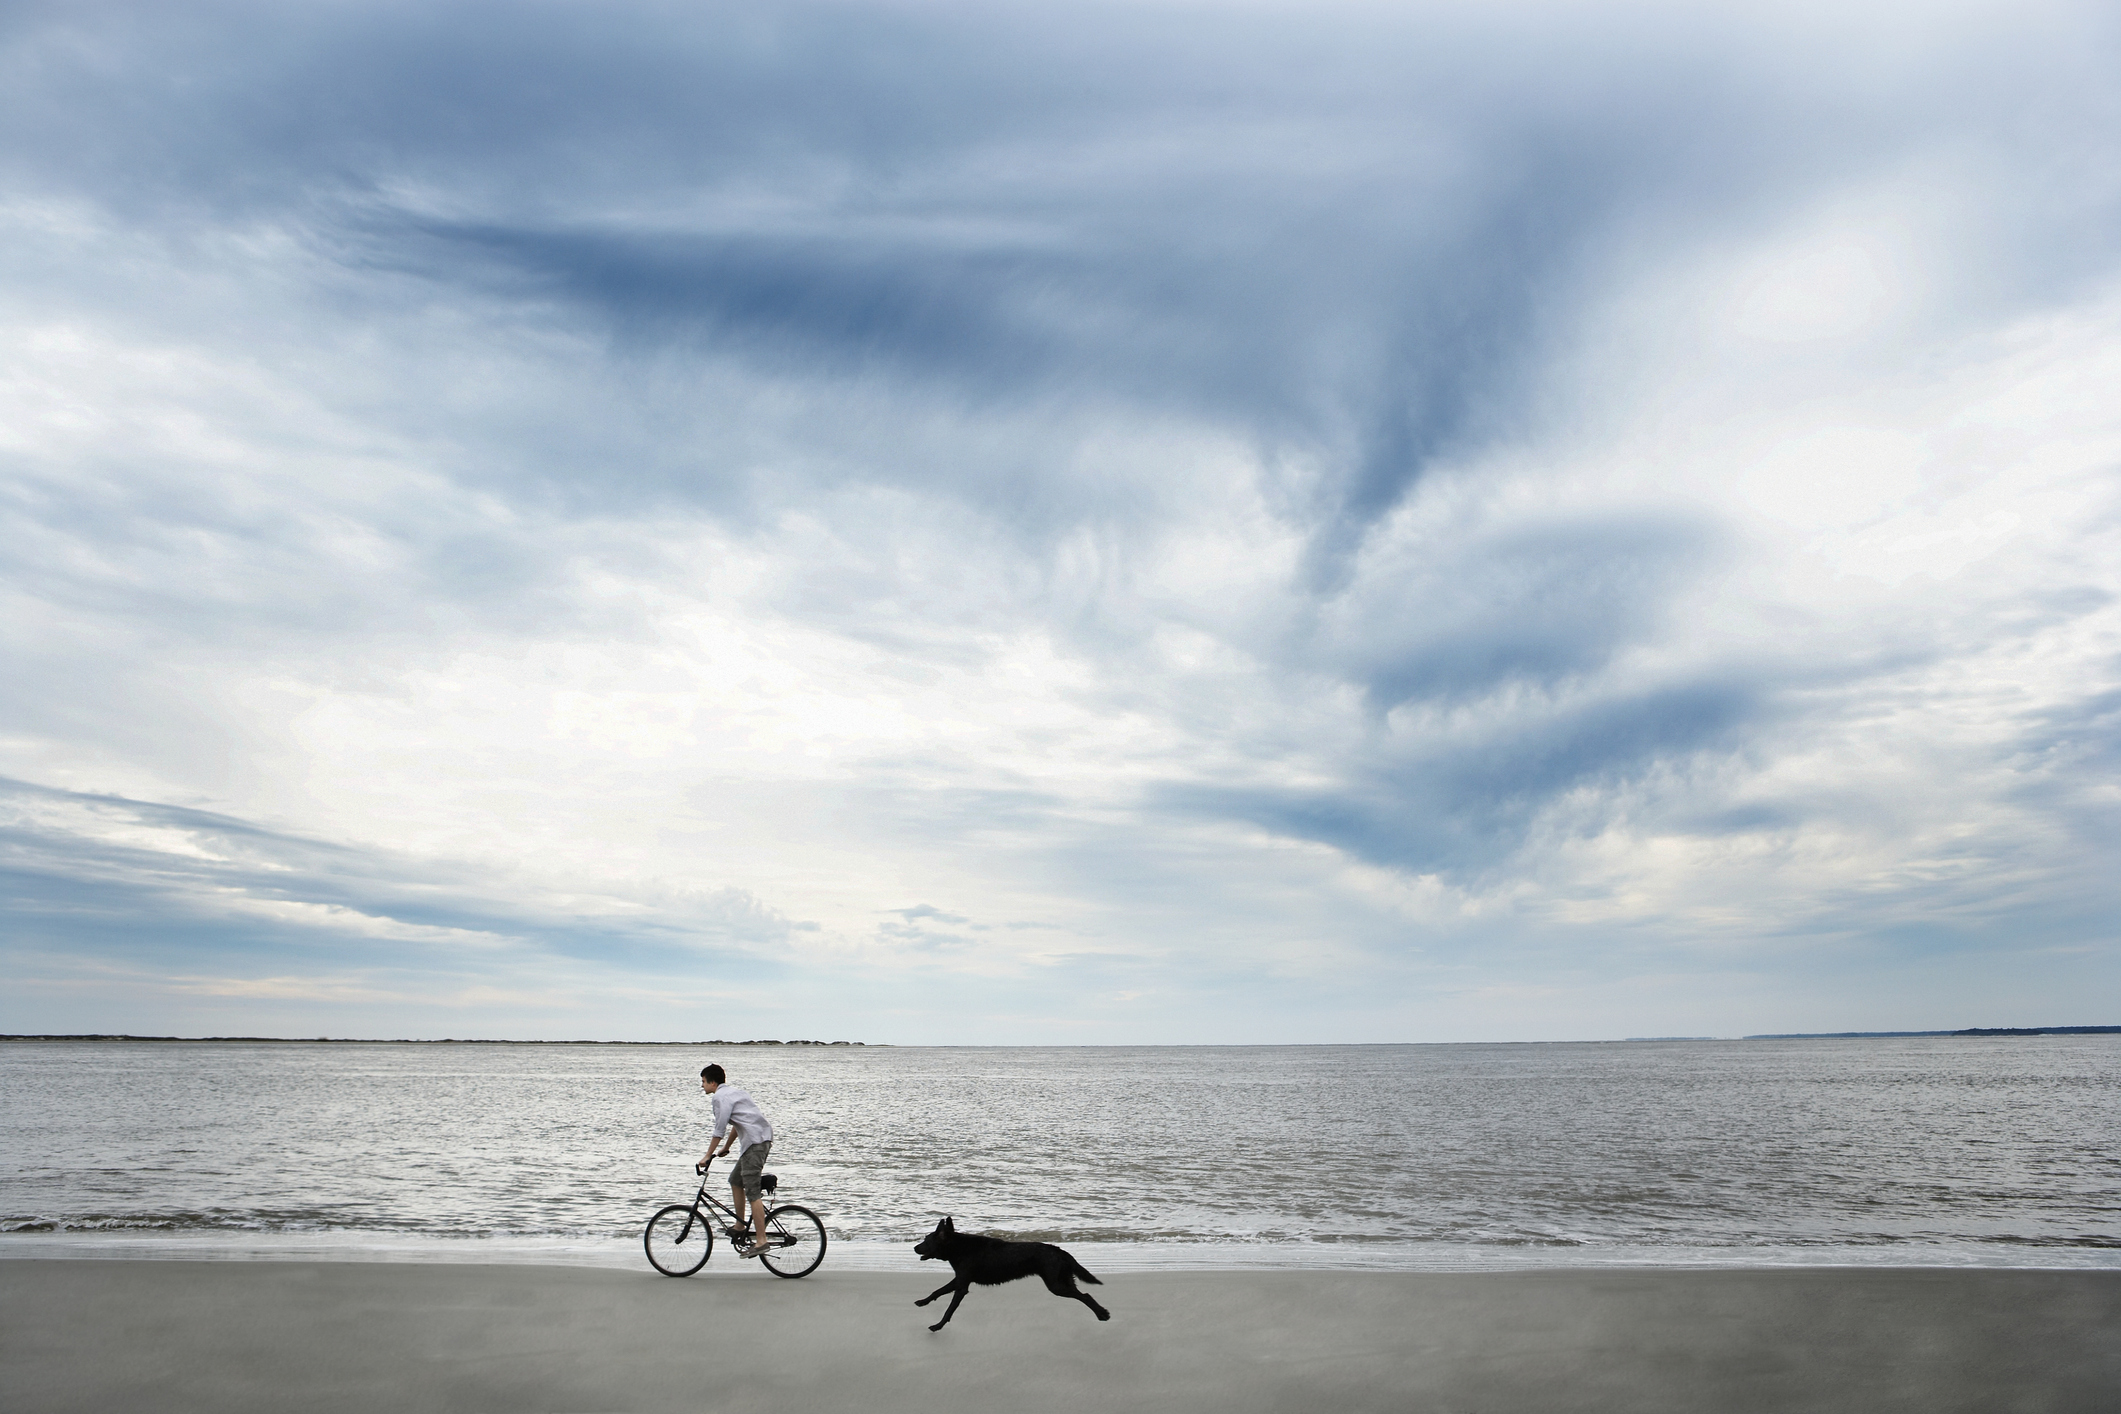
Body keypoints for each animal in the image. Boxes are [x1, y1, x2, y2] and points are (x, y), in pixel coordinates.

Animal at [907, 1221, 1111, 1331]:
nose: (914, 1247)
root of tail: (1060, 1251)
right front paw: (923, 1302)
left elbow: (949, 1310)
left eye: (926, 1240)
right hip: (1062, 1281)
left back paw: (1102, 1314)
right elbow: (937, 1291)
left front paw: (938, 1326)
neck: (958, 1248)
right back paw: (1102, 1313)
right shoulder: (959, 1279)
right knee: (1084, 1295)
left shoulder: (962, 1286)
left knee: (1085, 1296)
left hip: (1056, 1285)